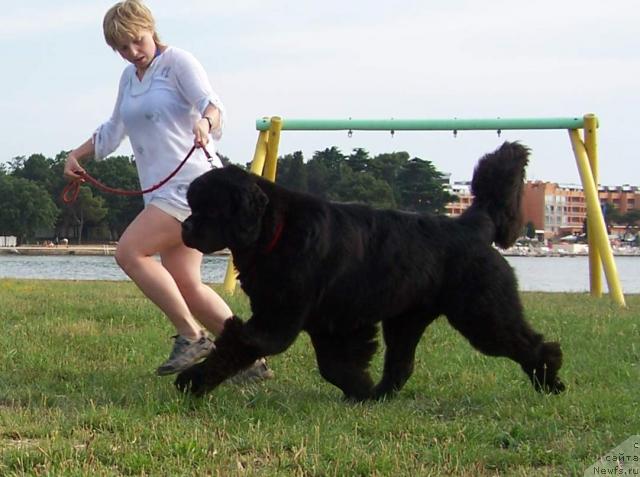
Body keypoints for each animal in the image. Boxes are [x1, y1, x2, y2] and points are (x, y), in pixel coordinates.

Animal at [176, 140, 564, 398]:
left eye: (208, 208)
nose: (185, 227)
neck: (274, 229)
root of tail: (471, 223)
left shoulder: (278, 320)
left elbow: (238, 345)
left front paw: (193, 380)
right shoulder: (329, 322)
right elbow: (333, 364)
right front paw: (359, 388)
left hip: (481, 312)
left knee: (525, 342)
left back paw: (550, 380)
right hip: (406, 320)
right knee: (401, 362)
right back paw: (381, 394)